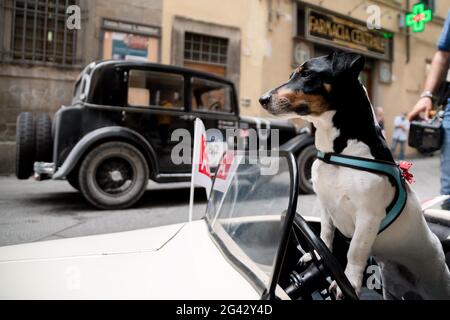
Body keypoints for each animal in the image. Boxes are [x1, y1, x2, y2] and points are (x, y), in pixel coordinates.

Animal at [258, 51, 450, 298]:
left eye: (307, 74)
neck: (338, 152)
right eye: (292, 74)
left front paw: (349, 281)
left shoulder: (368, 216)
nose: (263, 99)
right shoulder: (325, 205)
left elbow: (355, 251)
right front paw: (315, 256)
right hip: (390, 284)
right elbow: (325, 235)